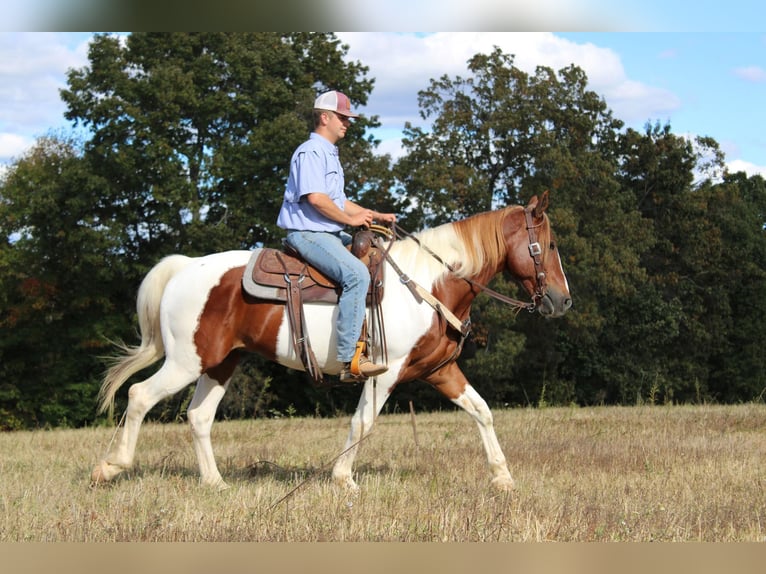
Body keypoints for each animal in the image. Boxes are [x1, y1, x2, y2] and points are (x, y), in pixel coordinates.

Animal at [91, 191, 568, 492]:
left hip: (221, 363)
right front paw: (343, 478)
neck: (428, 283)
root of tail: (185, 267)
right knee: (139, 395)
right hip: (186, 362)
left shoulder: (439, 369)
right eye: (547, 245)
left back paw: (215, 483)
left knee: (198, 417)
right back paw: (111, 467)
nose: (562, 301)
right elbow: (362, 423)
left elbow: (482, 411)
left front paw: (503, 478)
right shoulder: (385, 373)